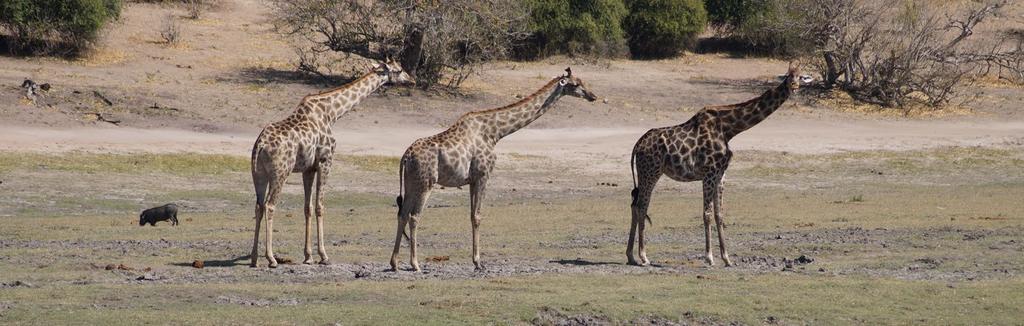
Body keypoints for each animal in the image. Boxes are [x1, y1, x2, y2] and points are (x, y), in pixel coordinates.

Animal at [249, 57, 413, 266]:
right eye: (399, 69)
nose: (412, 80)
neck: (332, 113)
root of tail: (260, 145)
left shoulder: (308, 168)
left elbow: (308, 208)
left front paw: (308, 256)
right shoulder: (326, 160)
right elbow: (320, 206)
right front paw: (323, 255)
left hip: (258, 174)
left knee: (259, 206)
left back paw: (254, 258)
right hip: (280, 173)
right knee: (270, 206)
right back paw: (271, 258)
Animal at [391, 67, 598, 270]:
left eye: (582, 81)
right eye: (575, 84)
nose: (593, 96)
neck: (495, 132)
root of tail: (406, 157)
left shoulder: (472, 180)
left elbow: (471, 215)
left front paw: (476, 260)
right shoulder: (483, 175)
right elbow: (477, 216)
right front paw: (478, 262)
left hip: (412, 183)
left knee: (402, 214)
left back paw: (394, 263)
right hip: (426, 183)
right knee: (414, 216)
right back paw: (415, 264)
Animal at [622, 64, 798, 266]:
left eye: (800, 76)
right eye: (788, 76)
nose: (794, 87)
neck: (729, 129)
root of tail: (637, 145)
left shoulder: (721, 173)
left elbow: (719, 214)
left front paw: (727, 258)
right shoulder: (709, 172)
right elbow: (706, 214)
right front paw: (709, 257)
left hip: (647, 173)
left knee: (635, 205)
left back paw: (631, 256)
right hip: (651, 172)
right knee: (641, 207)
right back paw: (643, 256)